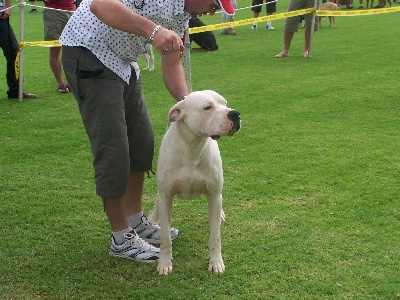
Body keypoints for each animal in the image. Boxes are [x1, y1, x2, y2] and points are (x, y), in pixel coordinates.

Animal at [148, 90, 239, 276]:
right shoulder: (166, 196)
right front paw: (164, 264)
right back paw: (153, 217)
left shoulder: (214, 194)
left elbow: (215, 237)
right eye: (207, 107)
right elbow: (165, 238)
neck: (192, 148)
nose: (235, 113)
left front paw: (216, 263)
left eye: (225, 103)